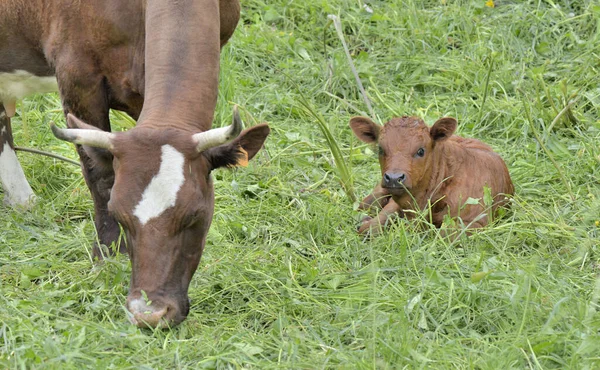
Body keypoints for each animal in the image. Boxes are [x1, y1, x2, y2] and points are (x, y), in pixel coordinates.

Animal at [0, 0, 270, 330]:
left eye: (194, 216)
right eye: (120, 215)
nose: (149, 314)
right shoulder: (78, 76)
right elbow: (99, 175)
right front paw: (107, 255)